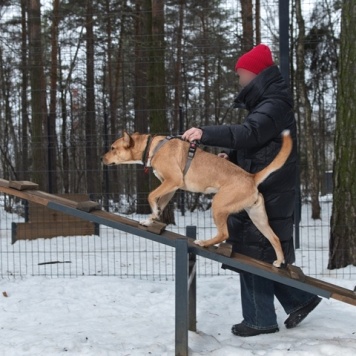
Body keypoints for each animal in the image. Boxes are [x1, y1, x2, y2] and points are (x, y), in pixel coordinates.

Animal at [102, 131, 292, 268]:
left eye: (112, 147)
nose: (101, 159)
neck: (153, 147)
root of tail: (251, 177)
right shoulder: (171, 187)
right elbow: (159, 202)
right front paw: (151, 219)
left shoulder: (173, 180)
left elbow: (151, 196)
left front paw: (153, 213)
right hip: (257, 217)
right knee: (275, 238)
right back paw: (278, 261)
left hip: (218, 205)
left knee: (224, 234)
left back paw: (203, 242)